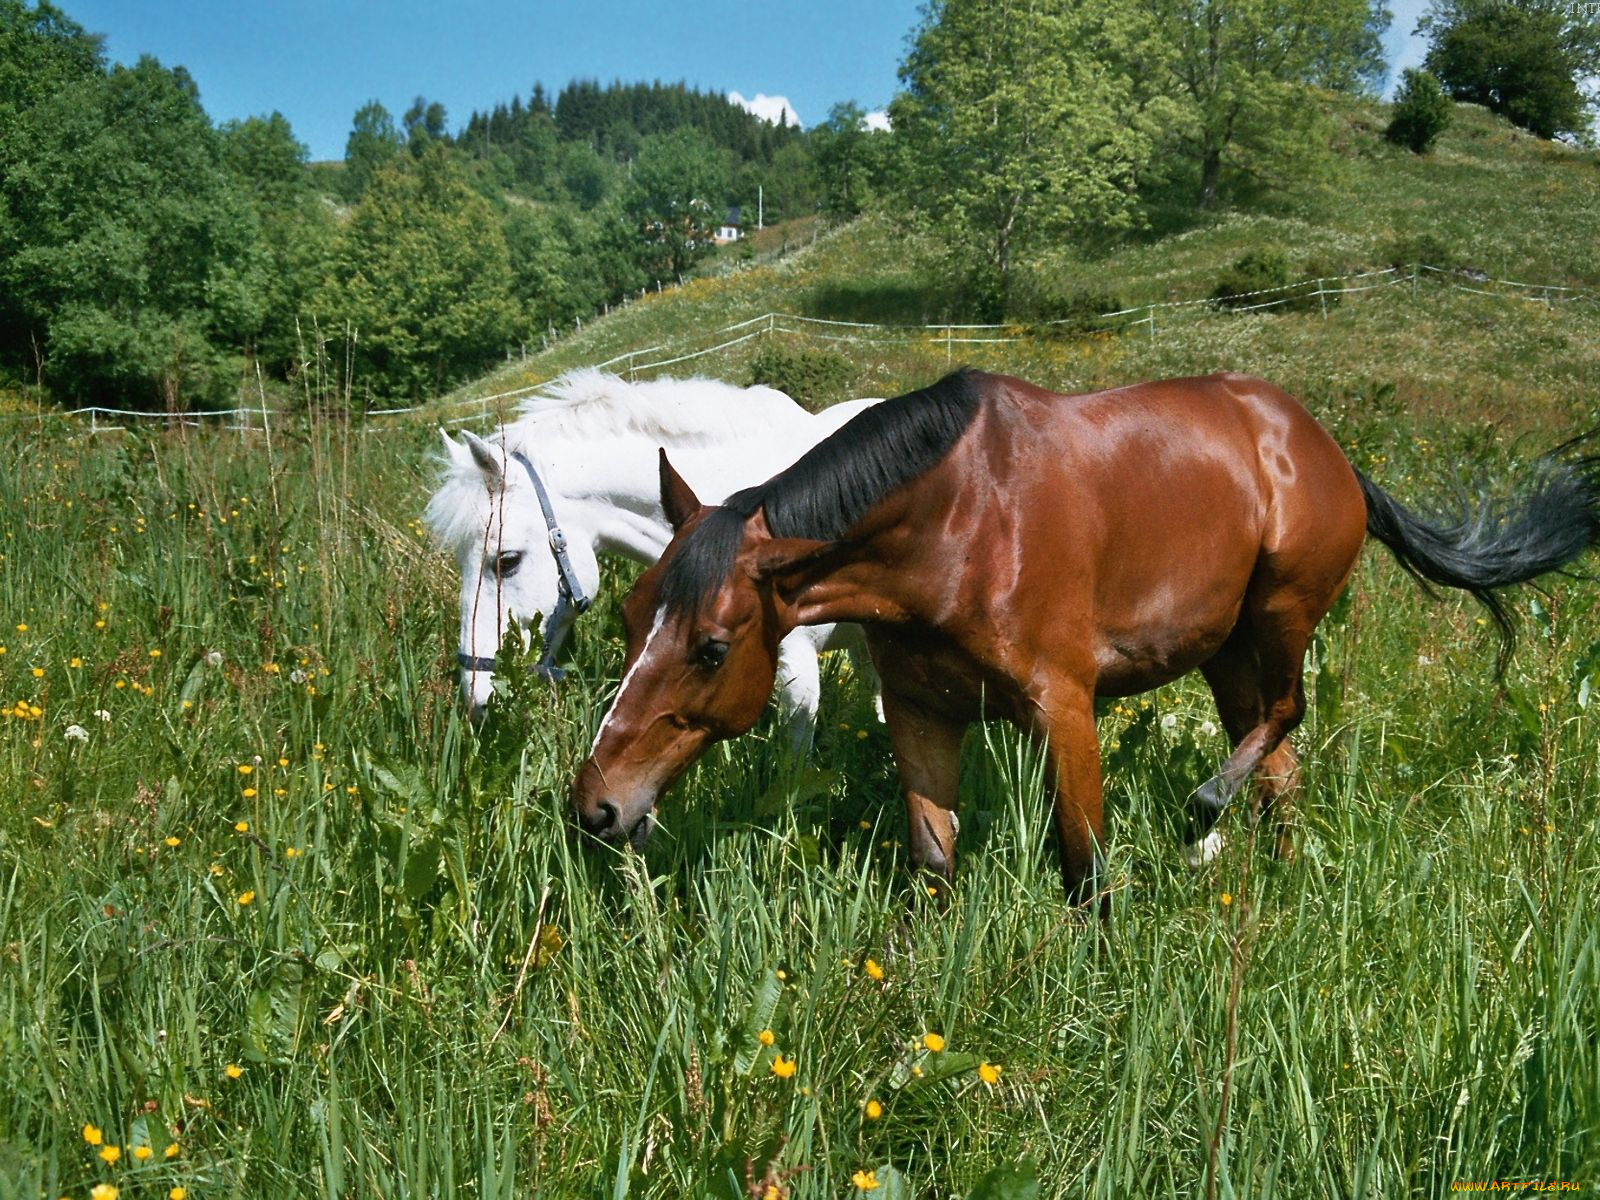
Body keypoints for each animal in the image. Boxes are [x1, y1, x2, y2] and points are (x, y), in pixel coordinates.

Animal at [569, 371, 1593, 915]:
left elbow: (1085, 871)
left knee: (1285, 715)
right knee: (1281, 766)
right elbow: (933, 862)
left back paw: (1204, 812)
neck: (959, 524)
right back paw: (1271, 872)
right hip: (1225, 649)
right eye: (628, 619)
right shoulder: (922, 714)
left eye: (710, 647)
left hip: (1282, 614)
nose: (595, 807)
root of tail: (1327, 449)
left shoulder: (1064, 710)